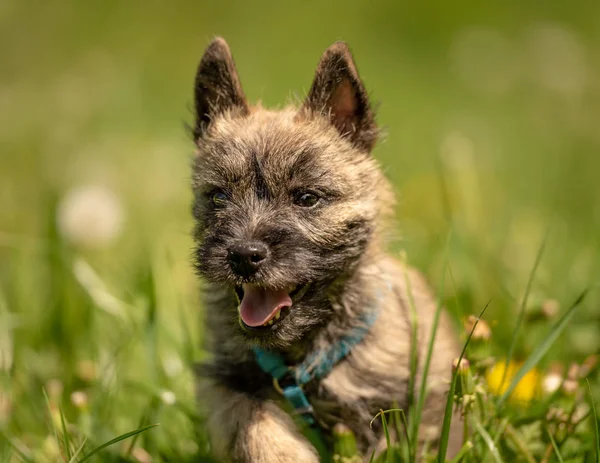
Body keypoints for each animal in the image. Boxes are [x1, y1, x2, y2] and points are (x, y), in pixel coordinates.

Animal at [192, 38, 460, 462]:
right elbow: (249, 419)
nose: (244, 255)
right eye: (218, 197)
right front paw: (283, 453)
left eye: (306, 198)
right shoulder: (227, 379)